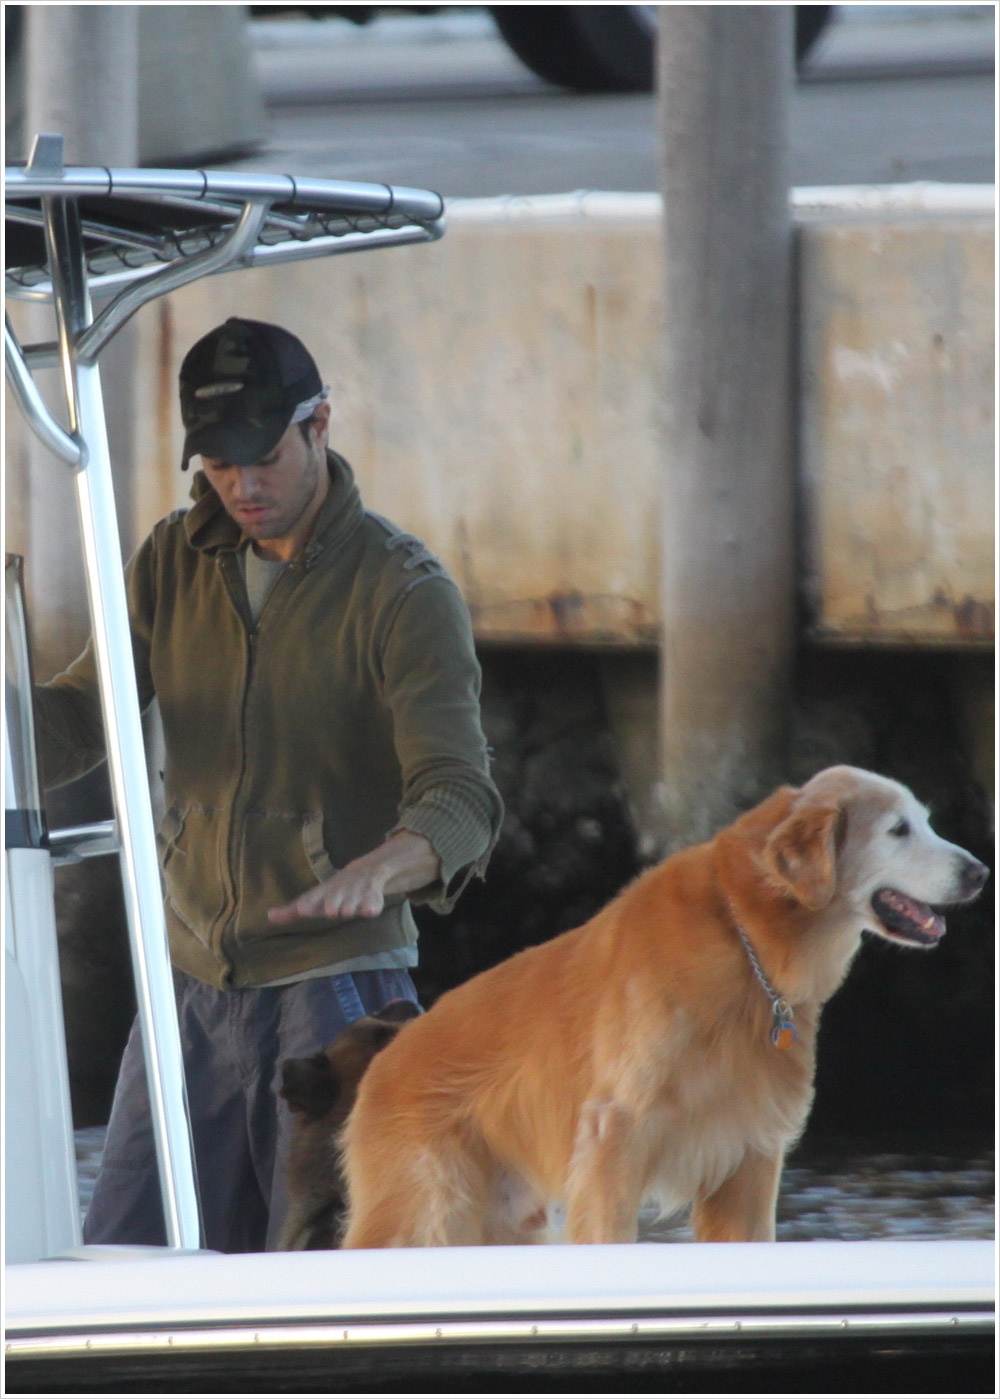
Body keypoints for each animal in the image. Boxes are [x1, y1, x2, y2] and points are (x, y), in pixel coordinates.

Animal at [339, 766, 988, 1248]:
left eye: (926, 822)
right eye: (899, 830)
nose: (980, 870)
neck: (746, 938)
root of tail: (385, 1059)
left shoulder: (749, 1155)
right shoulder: (614, 1136)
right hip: (425, 1208)